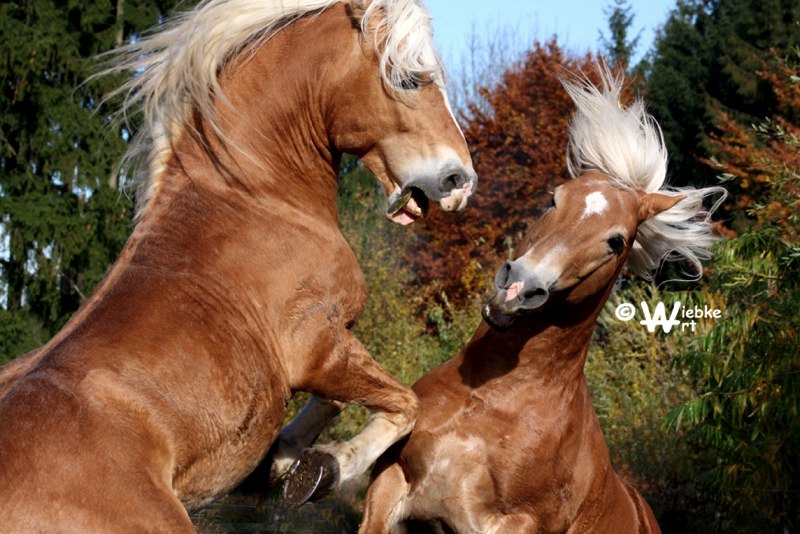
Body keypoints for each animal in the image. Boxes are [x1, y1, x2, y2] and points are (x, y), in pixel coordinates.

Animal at [0, 0, 476, 532]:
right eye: (410, 79)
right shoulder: (317, 347)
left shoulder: (331, 347)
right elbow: (404, 404)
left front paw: (282, 461)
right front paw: (324, 468)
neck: (255, 199)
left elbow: (343, 403)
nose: (460, 179)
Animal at [362, 68, 724, 534]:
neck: (495, 400)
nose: (517, 288)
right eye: (555, 198)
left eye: (616, 241)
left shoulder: (509, 523)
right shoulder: (390, 480)